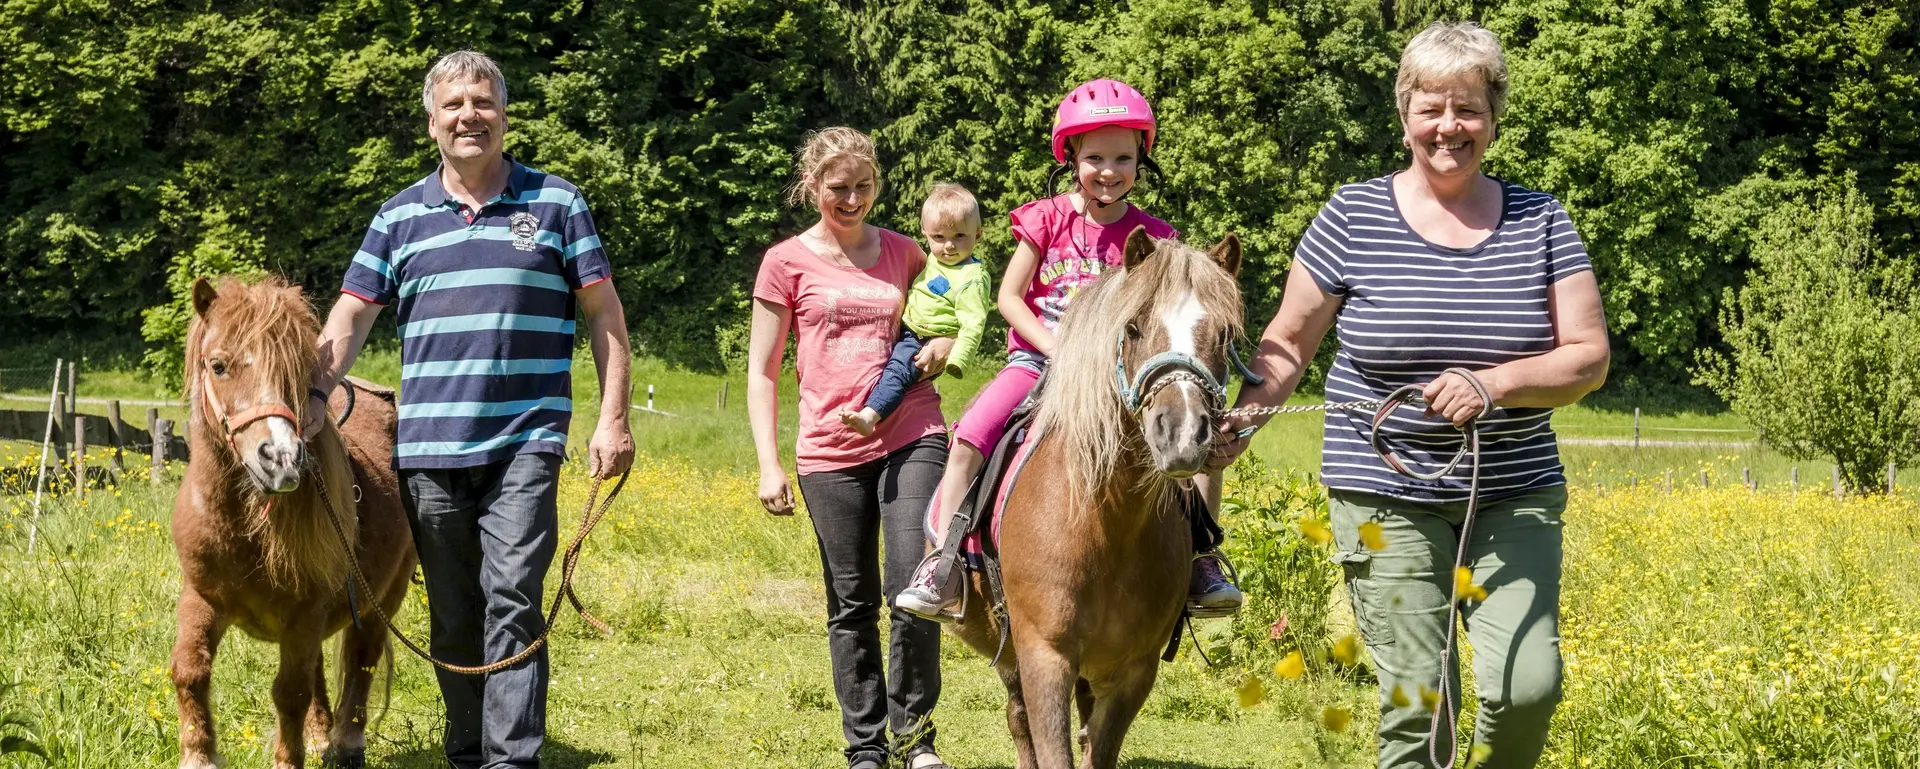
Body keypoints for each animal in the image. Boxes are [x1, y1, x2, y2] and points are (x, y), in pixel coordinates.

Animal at [169, 276, 416, 767]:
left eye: (297, 373)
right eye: (218, 365)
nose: (280, 458)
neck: (244, 529)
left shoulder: (305, 614)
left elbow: (290, 694)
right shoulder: (202, 597)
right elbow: (190, 672)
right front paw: (199, 756)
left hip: (384, 597)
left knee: (362, 658)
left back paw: (346, 742)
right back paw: (321, 737)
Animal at [944, 228, 1244, 767]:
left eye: (1225, 336)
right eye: (1133, 328)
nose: (1182, 433)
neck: (1107, 523)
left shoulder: (1135, 671)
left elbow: (1097, 750)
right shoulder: (1044, 657)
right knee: (1018, 719)